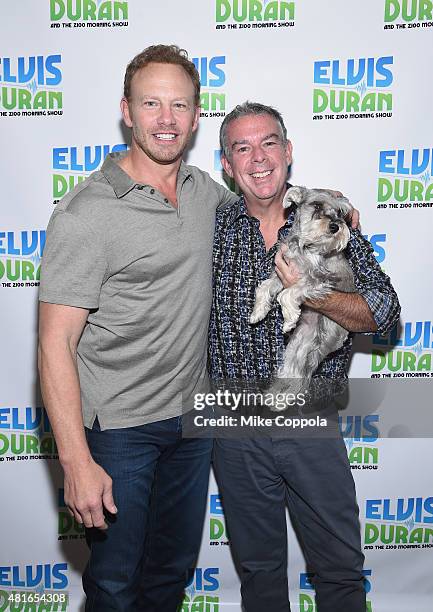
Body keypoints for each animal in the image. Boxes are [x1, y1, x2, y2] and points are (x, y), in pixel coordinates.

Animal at [250, 186, 354, 406]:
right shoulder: (280, 274)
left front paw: (289, 319)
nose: (335, 226)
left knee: (304, 374)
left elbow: (286, 295)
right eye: (317, 205)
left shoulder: (318, 280)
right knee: (292, 369)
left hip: (319, 342)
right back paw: (276, 396)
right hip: (298, 344)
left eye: (340, 212)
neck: (306, 245)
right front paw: (257, 314)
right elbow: (264, 288)